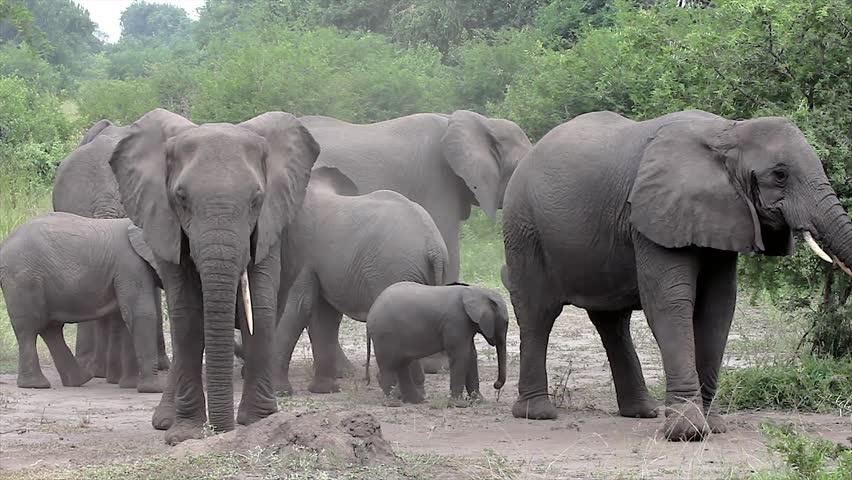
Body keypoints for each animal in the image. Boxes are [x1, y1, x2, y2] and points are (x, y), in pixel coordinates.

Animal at [0, 213, 165, 393]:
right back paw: (37, 385)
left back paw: (79, 380)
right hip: (23, 279)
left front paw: (129, 386)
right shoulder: (131, 266)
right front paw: (154, 389)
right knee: (30, 328)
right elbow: (141, 314)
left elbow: (126, 318)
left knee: (50, 327)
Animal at [109, 109, 319, 445]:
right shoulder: (164, 221)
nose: (222, 430)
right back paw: (165, 421)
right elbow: (186, 313)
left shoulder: (270, 224)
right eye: (181, 198)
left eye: (256, 199)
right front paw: (185, 435)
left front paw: (258, 422)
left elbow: (260, 306)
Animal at [270, 166, 450, 395]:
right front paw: (324, 390)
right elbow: (324, 316)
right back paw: (414, 391)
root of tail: (433, 246)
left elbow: (298, 308)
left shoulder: (302, 252)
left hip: (394, 269)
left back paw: (398, 391)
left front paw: (280, 392)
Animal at [365, 281, 508, 407]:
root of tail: (370, 312)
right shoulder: (455, 322)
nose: (496, 384)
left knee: (402, 365)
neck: (477, 291)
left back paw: (418, 401)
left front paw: (480, 402)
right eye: (505, 322)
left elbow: (471, 356)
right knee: (389, 365)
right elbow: (461, 355)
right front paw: (459, 405)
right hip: (385, 335)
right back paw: (394, 404)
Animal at [501, 109, 852, 441]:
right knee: (538, 313)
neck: (728, 131)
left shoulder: (722, 215)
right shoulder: (656, 213)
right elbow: (669, 303)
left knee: (612, 322)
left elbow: (717, 308)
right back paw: (538, 414)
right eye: (780, 175)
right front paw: (687, 432)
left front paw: (714, 426)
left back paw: (642, 412)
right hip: (524, 228)